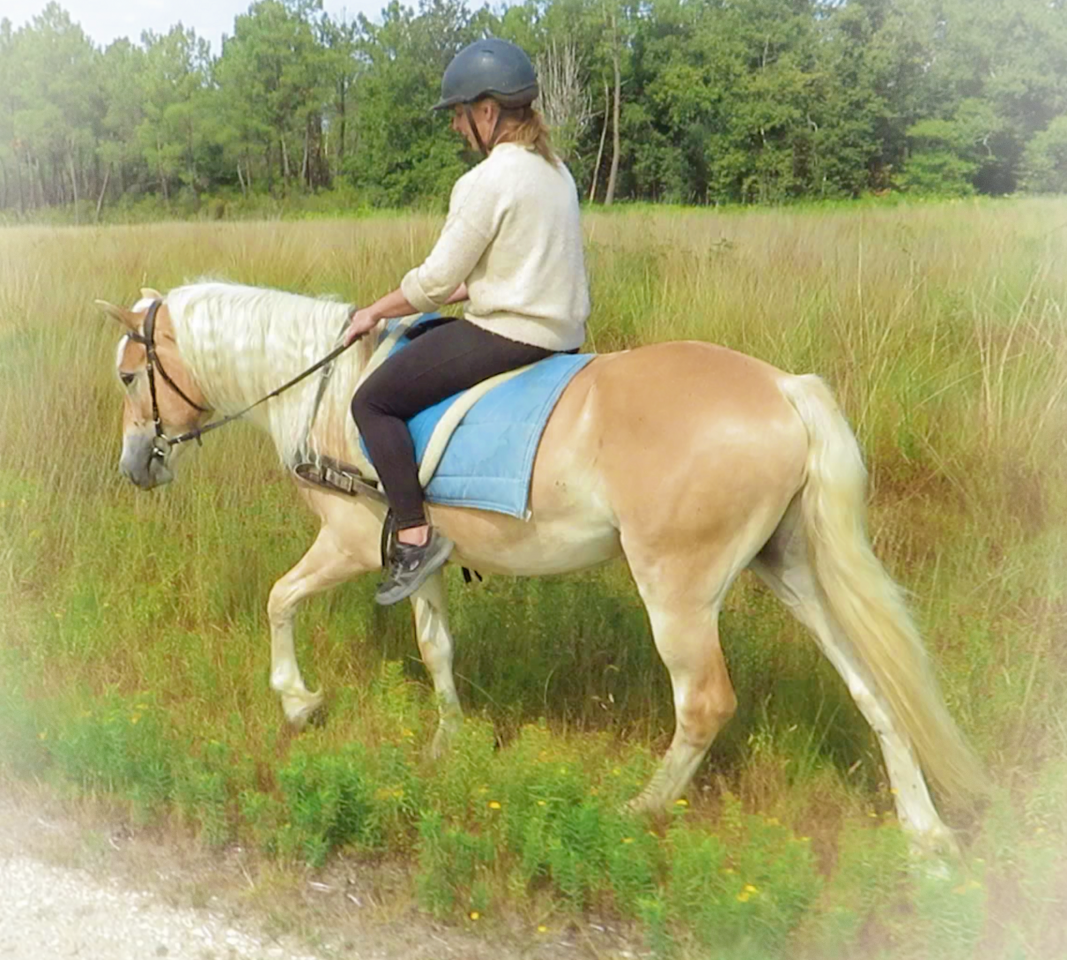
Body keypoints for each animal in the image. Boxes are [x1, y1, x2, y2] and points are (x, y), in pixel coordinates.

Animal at [97, 281, 986, 856]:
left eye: (129, 375)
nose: (136, 465)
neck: (325, 390)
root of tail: (781, 388)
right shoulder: (413, 554)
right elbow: (436, 649)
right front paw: (447, 745)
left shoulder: (348, 543)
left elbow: (277, 601)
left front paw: (297, 701)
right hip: (793, 570)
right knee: (871, 683)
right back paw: (924, 833)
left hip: (678, 590)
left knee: (704, 703)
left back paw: (637, 811)